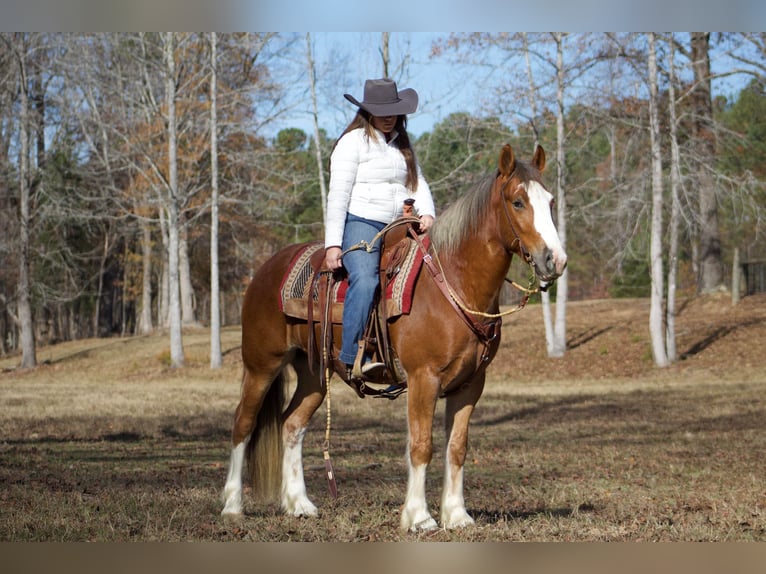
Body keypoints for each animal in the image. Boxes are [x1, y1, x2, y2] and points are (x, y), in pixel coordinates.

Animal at [219, 143, 568, 532]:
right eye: (518, 202)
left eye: (551, 201)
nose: (555, 260)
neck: (452, 281)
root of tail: (265, 269)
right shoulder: (423, 378)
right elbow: (421, 445)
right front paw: (419, 516)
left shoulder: (471, 384)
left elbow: (457, 447)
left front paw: (457, 515)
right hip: (261, 365)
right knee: (243, 424)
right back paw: (232, 505)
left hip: (313, 374)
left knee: (292, 424)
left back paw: (299, 504)